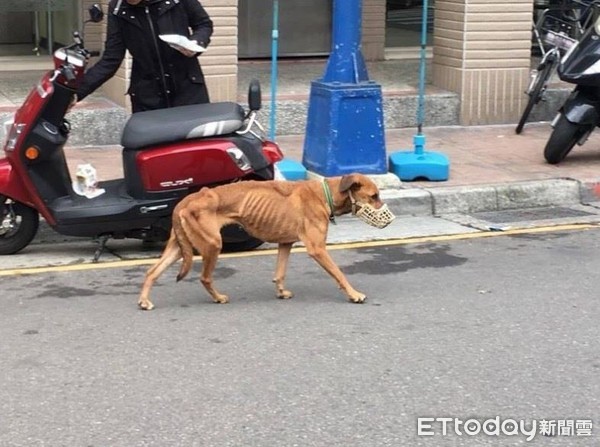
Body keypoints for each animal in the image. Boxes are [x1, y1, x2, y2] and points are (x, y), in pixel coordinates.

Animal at [139, 173, 394, 310]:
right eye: (374, 196)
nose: (390, 220)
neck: (326, 193)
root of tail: (185, 200)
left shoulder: (285, 243)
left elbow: (279, 273)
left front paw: (280, 292)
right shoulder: (317, 249)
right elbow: (339, 274)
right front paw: (353, 294)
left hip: (179, 248)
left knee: (151, 272)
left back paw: (144, 301)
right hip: (211, 245)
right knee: (205, 277)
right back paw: (218, 298)